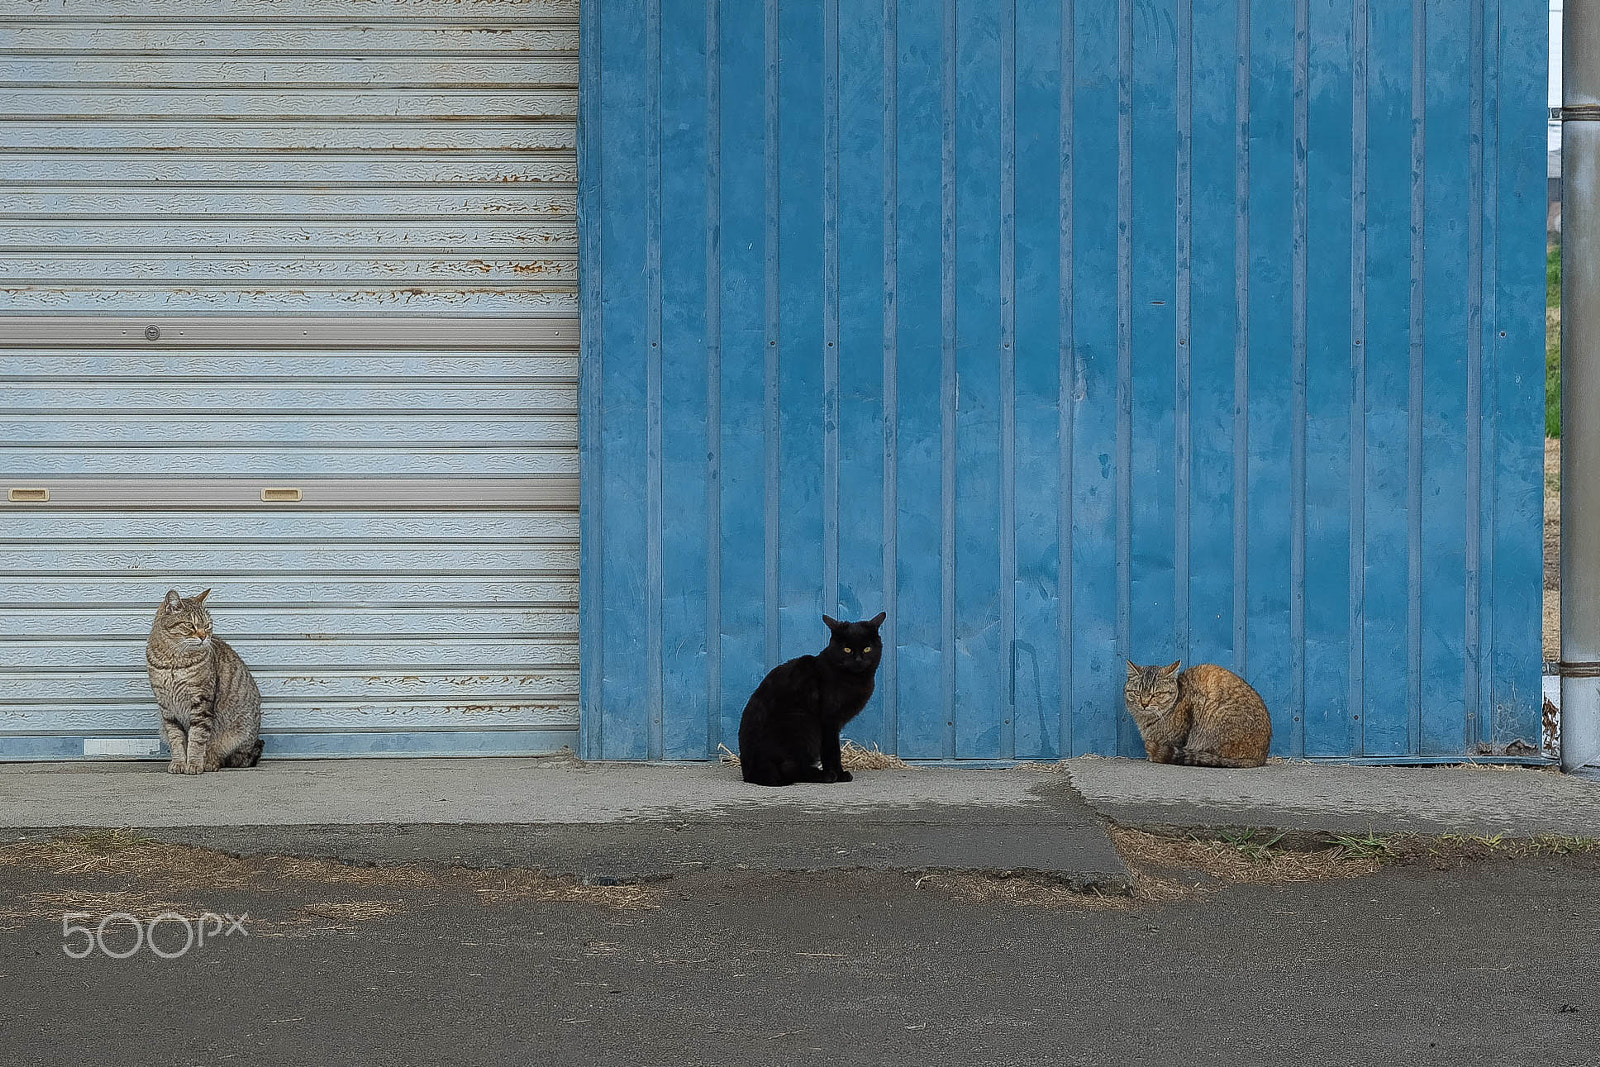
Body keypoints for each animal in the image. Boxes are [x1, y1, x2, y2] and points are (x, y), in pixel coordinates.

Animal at [148, 588, 267, 771]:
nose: (204, 636)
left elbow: (197, 739)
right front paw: (179, 763)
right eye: (190, 625)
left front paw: (194, 764)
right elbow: (176, 739)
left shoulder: (201, 703)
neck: (173, 661)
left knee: (221, 755)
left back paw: (210, 762)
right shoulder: (167, 708)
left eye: (207, 625)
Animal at [736, 614, 889, 790]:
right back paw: (825, 775)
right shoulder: (829, 721)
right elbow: (832, 751)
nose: (858, 659)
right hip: (803, 722)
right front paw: (839, 774)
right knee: (789, 766)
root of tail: (750, 773)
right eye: (847, 649)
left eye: (867, 649)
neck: (853, 680)